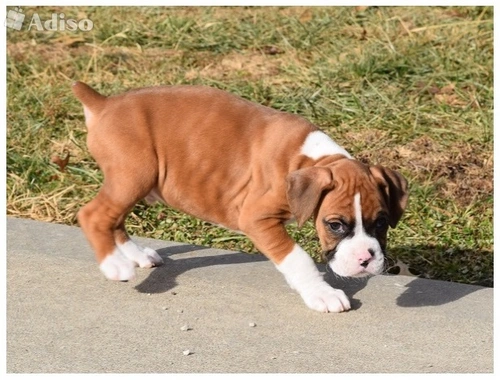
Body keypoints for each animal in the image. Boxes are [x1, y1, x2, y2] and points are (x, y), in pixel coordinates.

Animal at [72, 81, 406, 314]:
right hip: (134, 175)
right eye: (335, 225)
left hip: (132, 183)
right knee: (95, 215)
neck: (306, 159)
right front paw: (321, 293)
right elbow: (297, 258)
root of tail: (104, 103)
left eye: (381, 223)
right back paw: (115, 266)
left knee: (115, 219)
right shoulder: (257, 218)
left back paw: (136, 256)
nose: (366, 259)